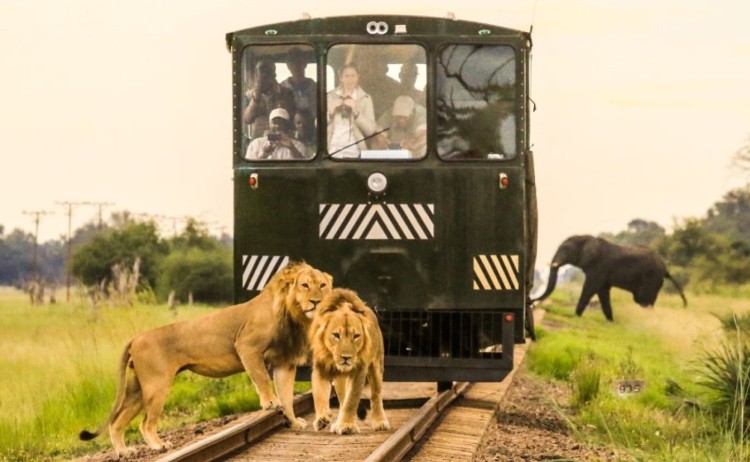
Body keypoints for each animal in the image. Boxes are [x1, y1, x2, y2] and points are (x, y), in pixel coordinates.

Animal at [531, 235, 687, 321]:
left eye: (565, 249)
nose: (531, 300)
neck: (586, 238)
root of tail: (665, 268)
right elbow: (602, 292)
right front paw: (611, 321)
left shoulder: (598, 267)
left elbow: (590, 288)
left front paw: (575, 316)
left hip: (651, 279)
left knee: (642, 300)